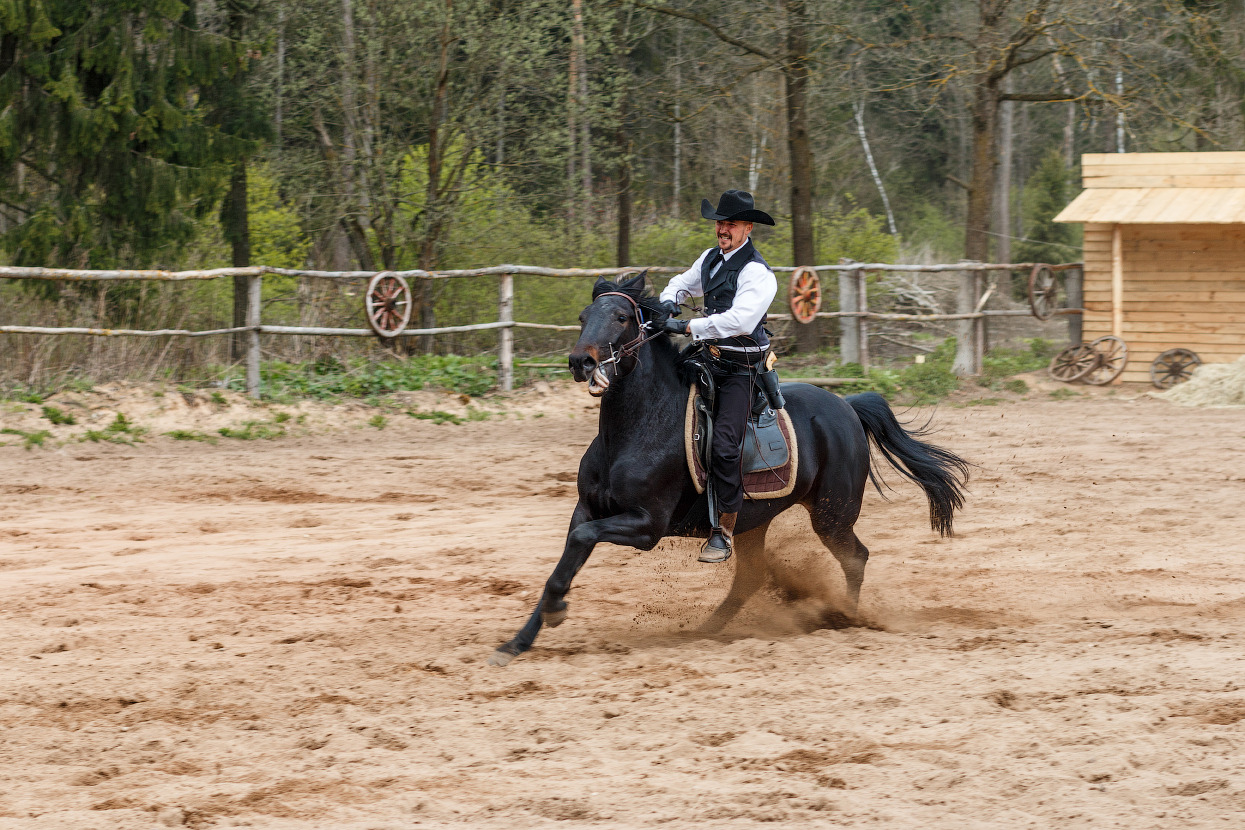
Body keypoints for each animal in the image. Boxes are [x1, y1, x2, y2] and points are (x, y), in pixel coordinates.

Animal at [485, 273, 971, 666]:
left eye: (622, 317)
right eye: (584, 314)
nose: (581, 362)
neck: (635, 428)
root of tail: (848, 406)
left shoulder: (646, 525)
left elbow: (582, 543)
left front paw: (554, 613)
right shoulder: (587, 511)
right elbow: (566, 560)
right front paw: (519, 641)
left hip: (832, 515)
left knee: (855, 556)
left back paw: (846, 617)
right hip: (753, 520)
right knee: (752, 576)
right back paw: (707, 629)